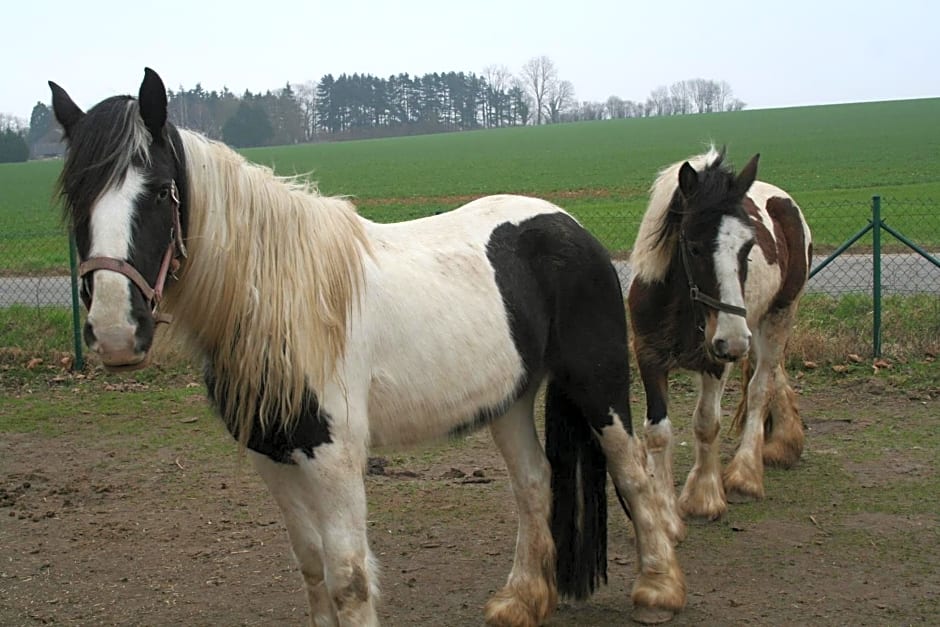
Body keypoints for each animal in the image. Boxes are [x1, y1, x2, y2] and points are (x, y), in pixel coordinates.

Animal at [49, 68, 684, 627]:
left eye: (160, 192)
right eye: (76, 197)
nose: (114, 329)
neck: (280, 301)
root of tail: (571, 228)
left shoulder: (334, 460)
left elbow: (349, 578)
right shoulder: (272, 458)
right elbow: (311, 569)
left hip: (598, 385)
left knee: (633, 473)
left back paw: (658, 591)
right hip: (509, 398)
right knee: (534, 483)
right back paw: (522, 601)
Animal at [632, 146, 816, 524]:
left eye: (748, 247)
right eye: (694, 246)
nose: (732, 340)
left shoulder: (715, 361)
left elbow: (706, 423)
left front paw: (703, 497)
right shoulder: (648, 356)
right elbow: (657, 431)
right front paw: (662, 511)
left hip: (778, 317)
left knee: (761, 387)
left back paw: (746, 474)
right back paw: (783, 443)